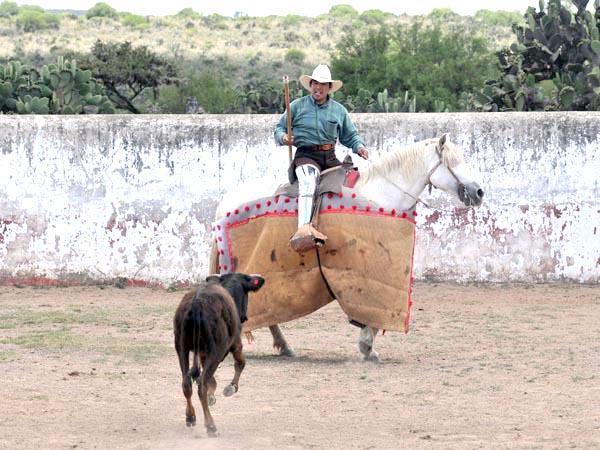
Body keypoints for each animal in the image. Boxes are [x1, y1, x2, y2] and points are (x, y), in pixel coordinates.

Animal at [213, 134, 486, 362]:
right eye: (453, 162)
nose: (479, 192)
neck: (380, 194)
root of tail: (225, 201)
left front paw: (368, 345)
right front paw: (367, 346)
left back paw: (283, 346)